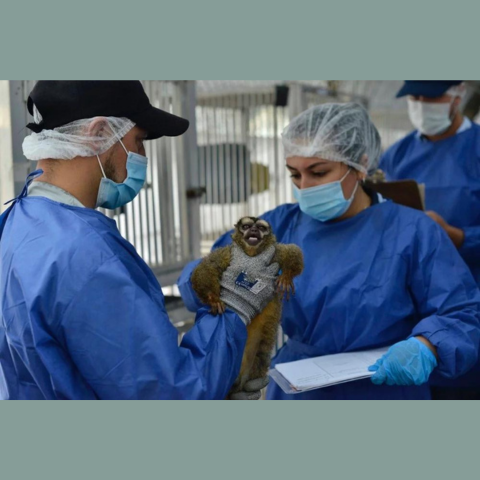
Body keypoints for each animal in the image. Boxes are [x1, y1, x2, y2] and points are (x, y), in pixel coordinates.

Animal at [191, 216, 304, 400]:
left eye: (261, 228)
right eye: (246, 226)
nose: (254, 231)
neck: (251, 255)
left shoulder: (274, 252)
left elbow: (293, 251)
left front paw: (287, 277)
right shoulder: (228, 253)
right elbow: (205, 268)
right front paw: (213, 299)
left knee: (261, 355)